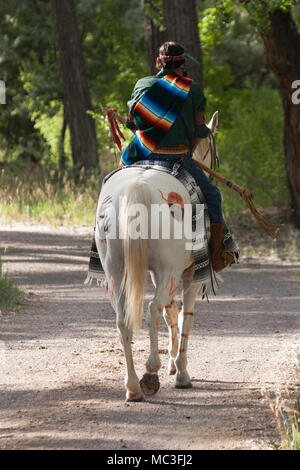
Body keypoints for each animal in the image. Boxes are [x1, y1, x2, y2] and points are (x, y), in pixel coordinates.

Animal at [95, 112, 219, 402]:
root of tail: (138, 187)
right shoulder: (190, 276)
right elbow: (185, 316)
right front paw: (181, 371)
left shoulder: (157, 274)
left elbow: (171, 313)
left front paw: (174, 363)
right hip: (169, 271)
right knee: (152, 308)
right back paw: (151, 372)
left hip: (116, 271)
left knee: (124, 318)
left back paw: (132, 387)